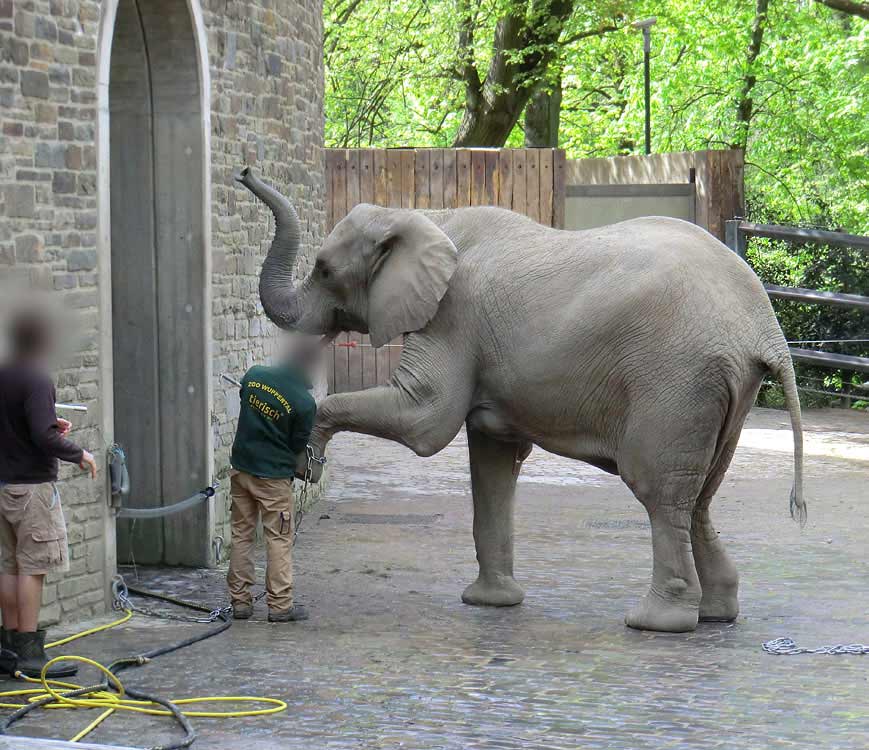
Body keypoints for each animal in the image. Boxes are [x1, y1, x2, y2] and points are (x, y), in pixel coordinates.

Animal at [234, 166, 804, 636]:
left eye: (325, 270)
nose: (243, 172)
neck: (425, 217)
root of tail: (764, 329)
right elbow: (492, 458)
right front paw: (491, 604)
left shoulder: (453, 316)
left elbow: (426, 421)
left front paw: (306, 454)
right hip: (722, 390)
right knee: (698, 496)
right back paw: (716, 613)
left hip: (677, 380)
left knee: (658, 491)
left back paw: (655, 623)